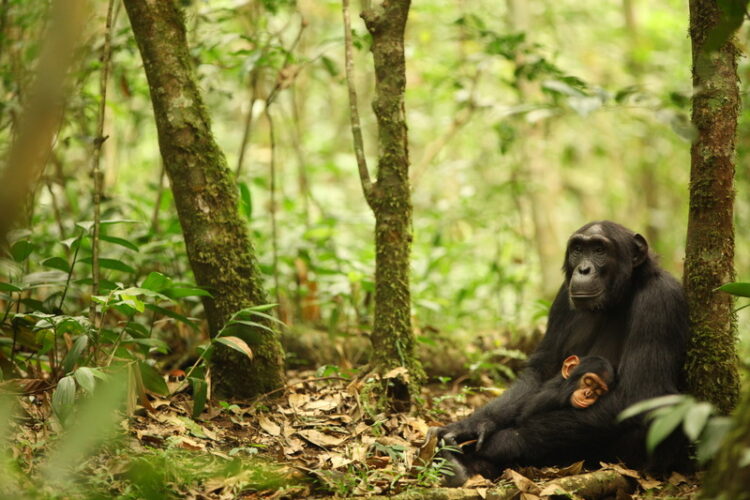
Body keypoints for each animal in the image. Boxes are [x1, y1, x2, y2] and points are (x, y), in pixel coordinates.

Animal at [434, 222, 692, 484]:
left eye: (599, 250)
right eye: (578, 249)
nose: (584, 269)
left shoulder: (660, 300)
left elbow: (638, 393)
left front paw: (500, 442)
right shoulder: (560, 297)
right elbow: (542, 371)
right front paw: (473, 425)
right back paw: (457, 467)